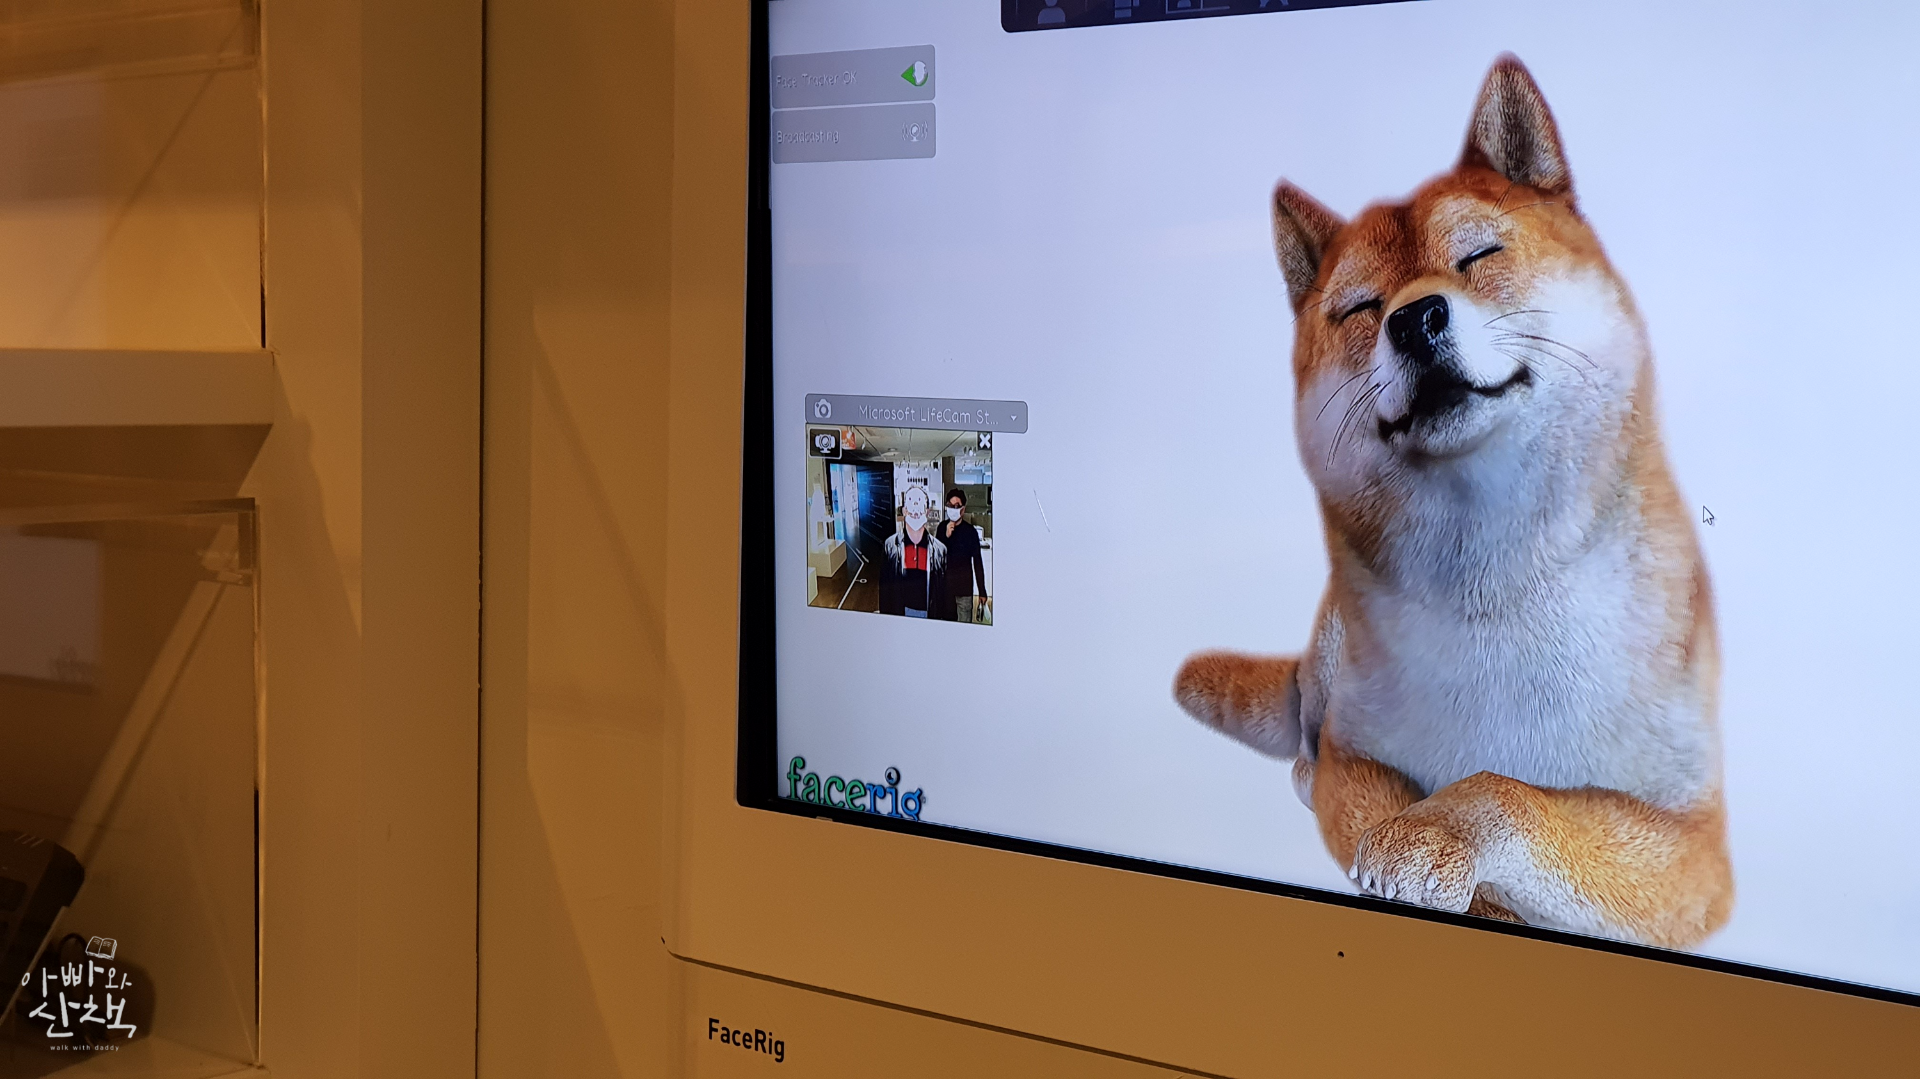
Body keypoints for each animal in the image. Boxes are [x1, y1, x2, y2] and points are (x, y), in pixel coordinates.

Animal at [1173, 56, 1732, 948]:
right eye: (1361, 306)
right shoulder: (1356, 752)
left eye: (1478, 254)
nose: (1415, 319)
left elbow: (1506, 791)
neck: (1497, 608)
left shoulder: (1696, 843)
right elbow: (1373, 794)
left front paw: (1437, 837)